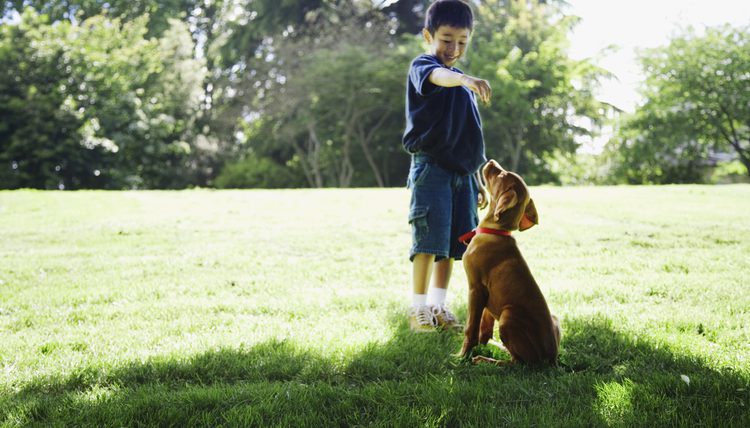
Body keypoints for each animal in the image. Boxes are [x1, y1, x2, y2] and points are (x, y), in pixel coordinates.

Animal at [456, 159, 560, 366]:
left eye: (501, 175)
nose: (490, 161)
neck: (495, 231)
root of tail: (551, 359)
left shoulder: (475, 288)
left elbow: (471, 328)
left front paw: (462, 356)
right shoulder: (486, 296)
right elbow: (484, 328)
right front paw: (482, 343)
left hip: (507, 316)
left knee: (519, 363)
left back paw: (487, 360)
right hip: (553, 318)